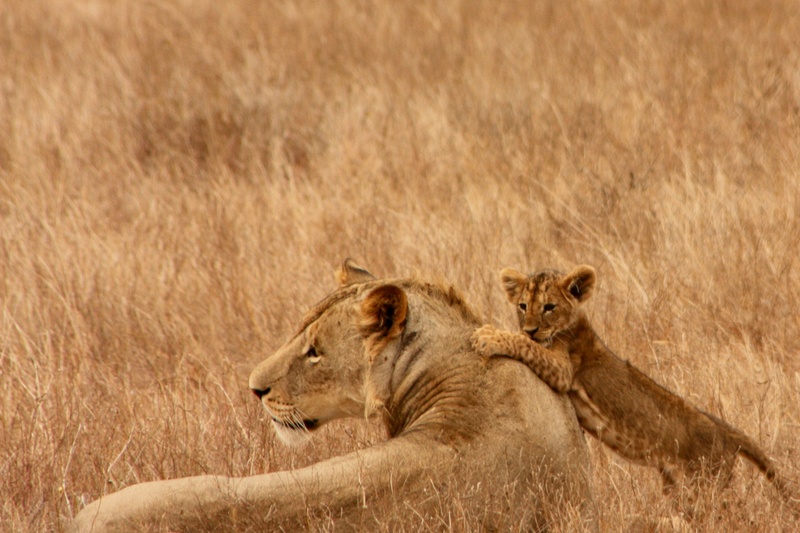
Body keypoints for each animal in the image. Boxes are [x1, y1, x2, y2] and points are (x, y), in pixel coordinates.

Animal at [471, 264, 795, 509]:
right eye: (523, 306)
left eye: (549, 307)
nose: (531, 328)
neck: (573, 324)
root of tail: (725, 430)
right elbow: (525, 342)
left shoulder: (563, 368)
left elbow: (524, 345)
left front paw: (488, 336)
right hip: (681, 492)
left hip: (706, 485)